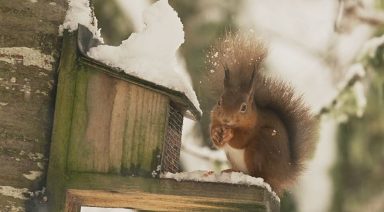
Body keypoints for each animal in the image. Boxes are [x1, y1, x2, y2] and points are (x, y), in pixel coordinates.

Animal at [210, 32, 318, 195]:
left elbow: (241, 140)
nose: (226, 119)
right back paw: (231, 171)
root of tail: (284, 175)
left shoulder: (253, 127)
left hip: (261, 146)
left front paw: (230, 134)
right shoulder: (214, 118)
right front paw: (216, 133)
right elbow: (215, 138)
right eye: (219, 102)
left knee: (259, 173)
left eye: (243, 107)